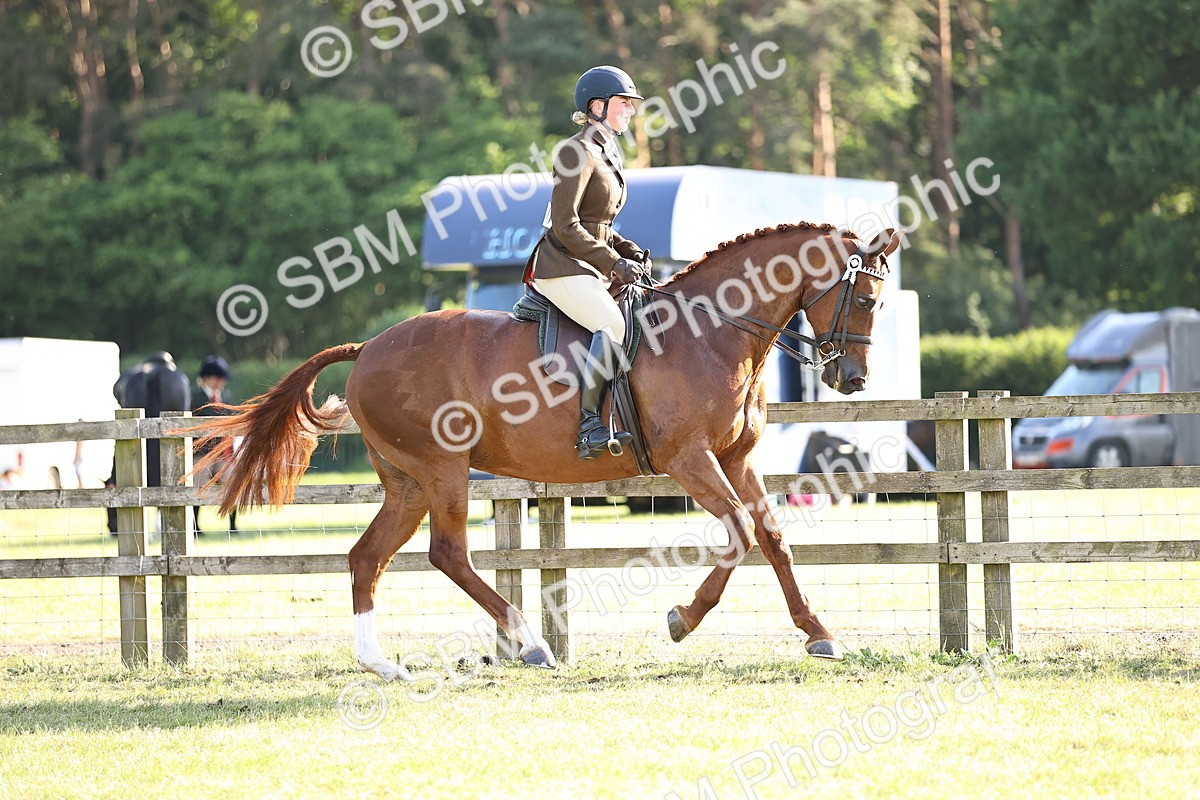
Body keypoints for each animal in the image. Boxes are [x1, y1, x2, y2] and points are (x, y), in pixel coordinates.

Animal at [195, 222, 903, 679]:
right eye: (866, 298)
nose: (853, 379)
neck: (713, 331)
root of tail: (368, 347)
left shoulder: (737, 460)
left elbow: (773, 536)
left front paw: (819, 634)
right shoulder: (690, 460)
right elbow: (738, 532)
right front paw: (682, 618)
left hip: (407, 482)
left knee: (366, 558)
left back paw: (382, 664)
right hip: (444, 469)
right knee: (448, 553)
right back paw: (531, 644)